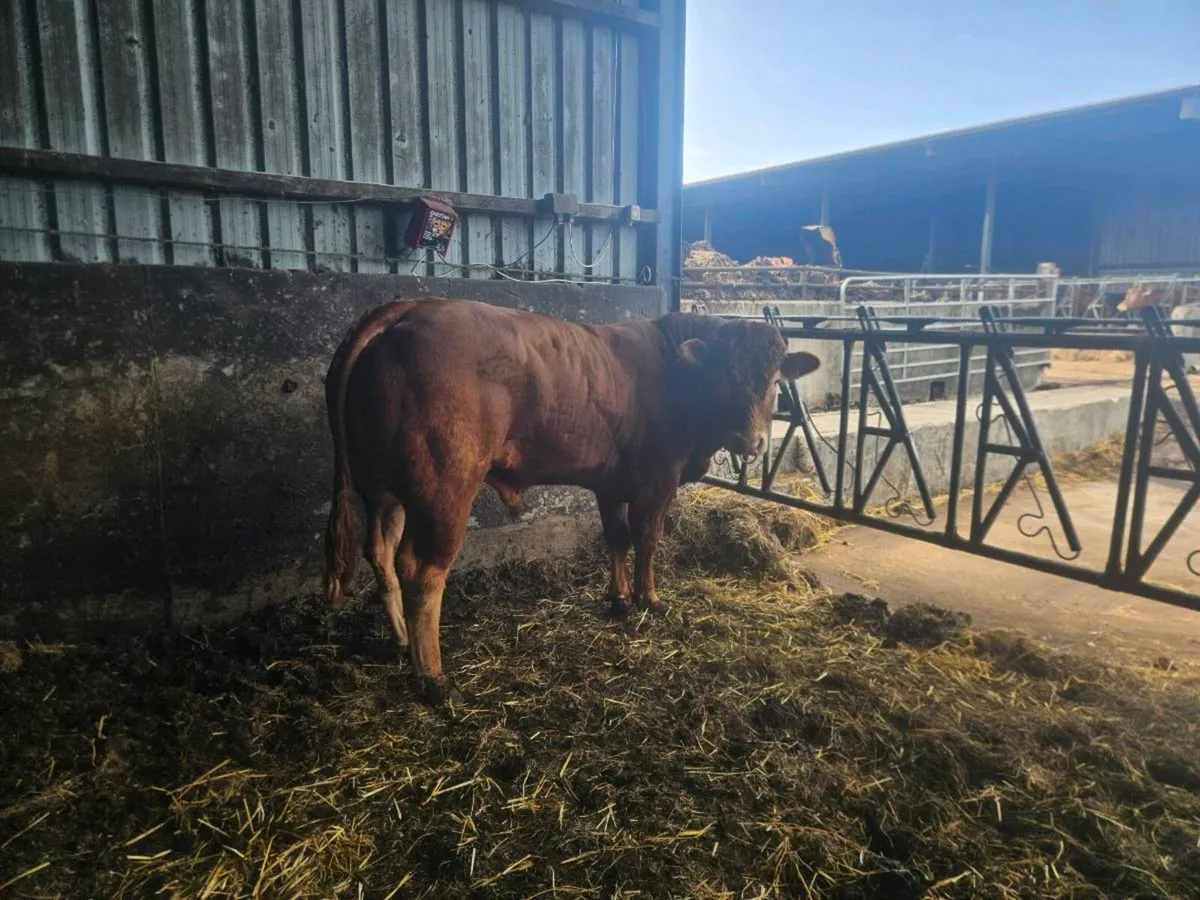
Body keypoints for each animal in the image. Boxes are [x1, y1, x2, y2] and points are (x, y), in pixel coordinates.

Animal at [323, 299, 821, 703]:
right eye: (723, 378)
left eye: (775, 380)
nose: (750, 441)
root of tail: (405, 309)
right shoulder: (657, 480)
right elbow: (647, 540)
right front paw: (650, 599)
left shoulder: (612, 484)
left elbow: (616, 538)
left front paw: (619, 599)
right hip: (444, 491)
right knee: (422, 573)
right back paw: (432, 677)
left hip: (384, 490)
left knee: (380, 554)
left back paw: (402, 640)